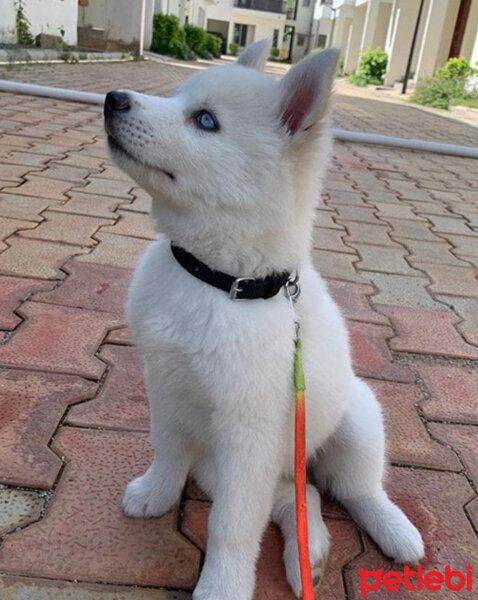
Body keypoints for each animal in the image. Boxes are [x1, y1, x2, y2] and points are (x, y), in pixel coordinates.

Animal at [103, 42, 422, 600]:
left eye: (205, 120)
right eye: (179, 97)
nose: (113, 98)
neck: (219, 281)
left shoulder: (249, 435)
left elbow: (231, 526)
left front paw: (222, 586)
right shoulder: (165, 389)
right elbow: (167, 451)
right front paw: (156, 494)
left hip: (357, 421)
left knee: (356, 489)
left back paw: (394, 531)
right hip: (223, 466)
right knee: (301, 496)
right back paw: (309, 553)